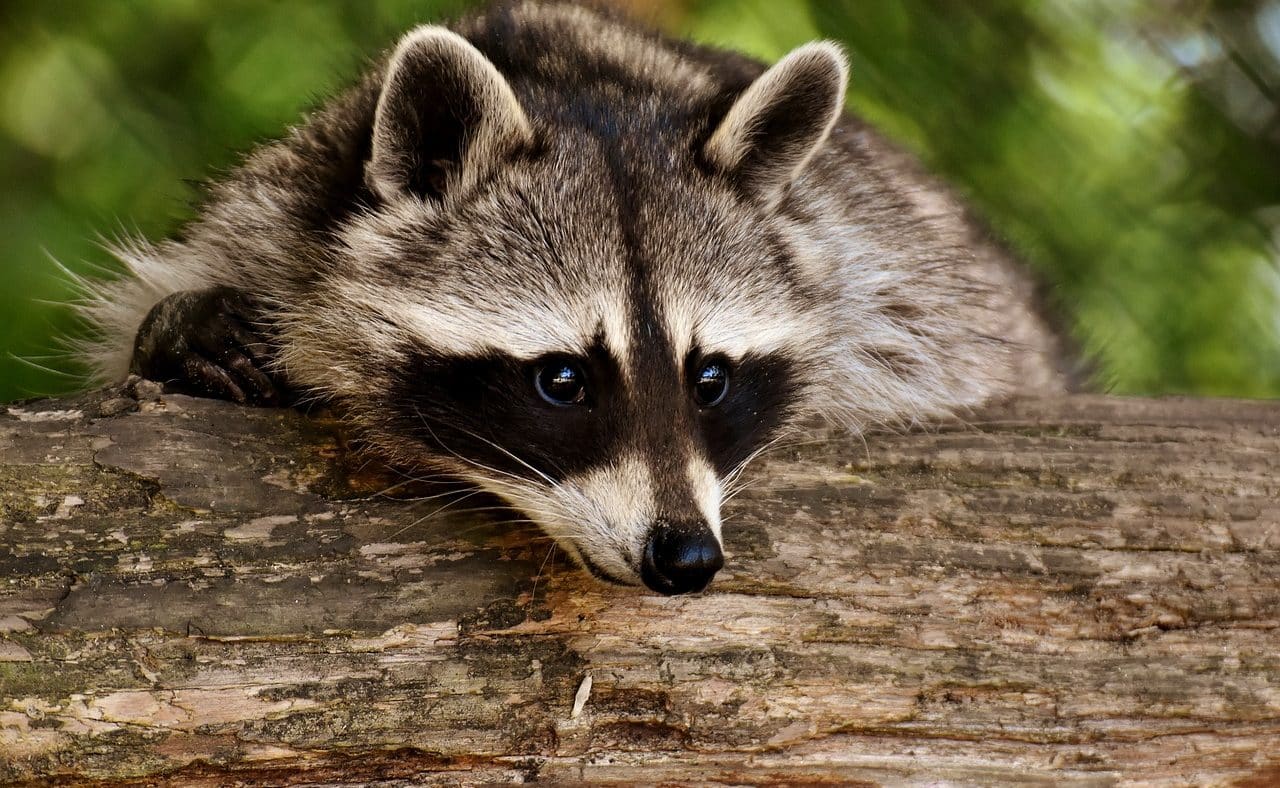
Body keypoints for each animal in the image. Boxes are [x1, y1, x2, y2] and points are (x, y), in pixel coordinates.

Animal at [77, 0, 1070, 591]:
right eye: (562, 380)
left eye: (710, 378)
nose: (687, 558)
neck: (578, 83)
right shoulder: (272, 212)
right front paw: (182, 331)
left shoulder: (889, 273)